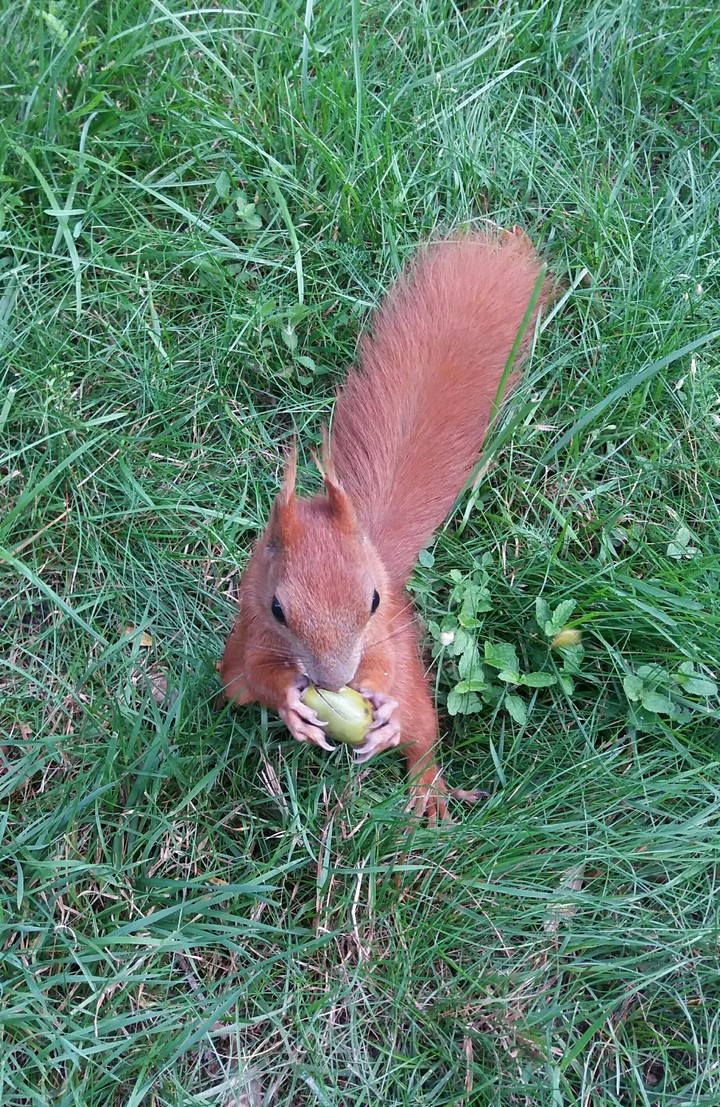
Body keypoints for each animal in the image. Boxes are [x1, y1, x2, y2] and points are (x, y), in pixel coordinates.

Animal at [219, 227, 551, 822]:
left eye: (372, 600)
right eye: (279, 609)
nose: (334, 683)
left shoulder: (384, 640)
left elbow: (380, 667)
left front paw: (376, 701)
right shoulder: (253, 631)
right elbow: (262, 675)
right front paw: (292, 704)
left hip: (415, 687)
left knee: (422, 736)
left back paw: (428, 790)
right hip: (230, 669)